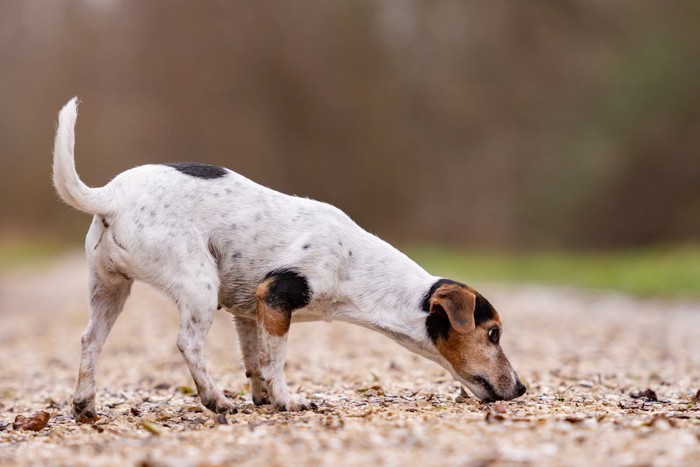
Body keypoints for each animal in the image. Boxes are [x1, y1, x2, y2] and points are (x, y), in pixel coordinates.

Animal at [53, 98, 524, 424]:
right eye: (494, 333)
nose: (521, 388)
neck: (356, 266)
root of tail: (110, 196)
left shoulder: (247, 311)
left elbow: (255, 361)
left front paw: (264, 397)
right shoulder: (278, 298)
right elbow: (275, 360)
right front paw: (287, 400)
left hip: (109, 289)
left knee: (90, 341)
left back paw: (84, 404)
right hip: (197, 283)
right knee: (188, 343)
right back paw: (215, 399)